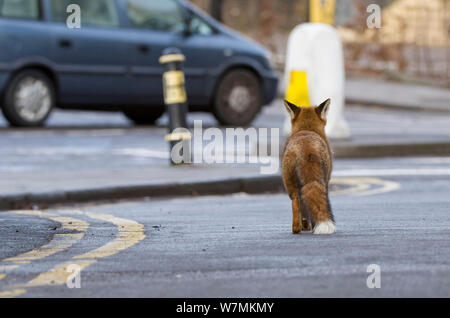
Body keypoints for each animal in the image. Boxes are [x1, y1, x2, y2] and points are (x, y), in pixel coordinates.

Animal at [282, 98, 334, 235]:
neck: (307, 129)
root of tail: (307, 148)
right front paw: (307, 226)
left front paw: (305, 225)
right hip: (318, 182)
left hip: (292, 185)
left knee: (297, 204)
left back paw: (298, 229)